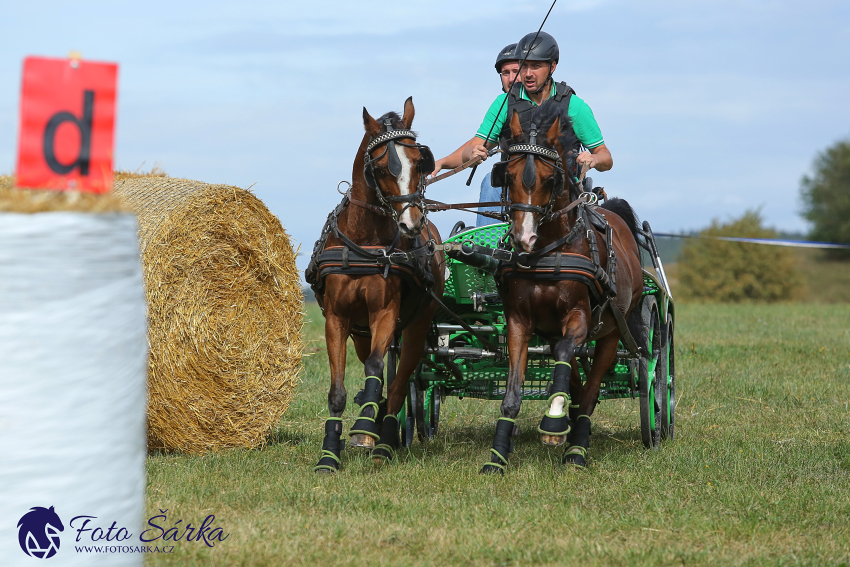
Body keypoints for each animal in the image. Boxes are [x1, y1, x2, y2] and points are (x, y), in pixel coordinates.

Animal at [308, 98, 448, 474]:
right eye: (383, 168)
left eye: (419, 162)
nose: (412, 223)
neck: (364, 241)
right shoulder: (337, 319)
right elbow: (337, 390)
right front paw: (329, 455)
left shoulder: (385, 313)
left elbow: (375, 368)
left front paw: (364, 426)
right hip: (360, 333)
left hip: (416, 327)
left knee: (399, 384)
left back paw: (383, 442)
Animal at [480, 103, 640, 474]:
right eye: (507, 176)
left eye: (550, 179)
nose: (524, 238)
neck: (549, 251)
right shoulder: (519, 321)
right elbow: (513, 394)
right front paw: (497, 457)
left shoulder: (579, 315)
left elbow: (568, 355)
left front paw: (553, 421)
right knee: (577, 383)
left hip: (612, 331)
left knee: (591, 389)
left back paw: (576, 450)